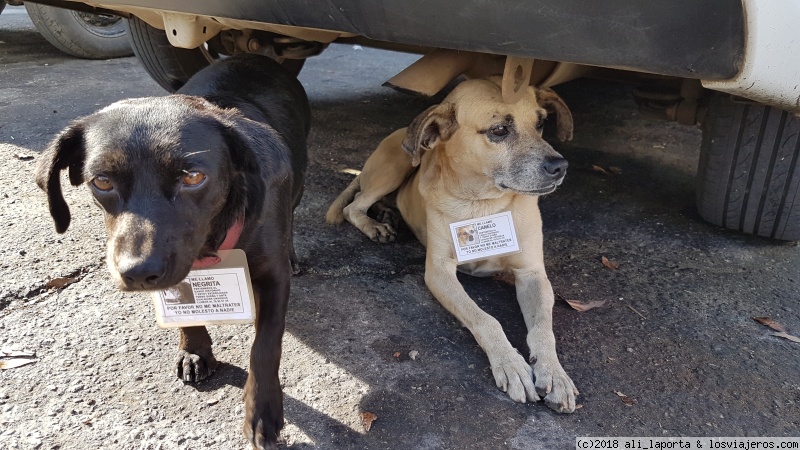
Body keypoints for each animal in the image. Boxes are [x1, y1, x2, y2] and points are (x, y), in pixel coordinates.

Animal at [35, 54, 310, 448]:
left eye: (193, 177)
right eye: (101, 181)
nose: (136, 272)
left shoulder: (273, 278)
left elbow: (265, 346)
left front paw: (263, 412)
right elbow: (186, 312)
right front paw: (195, 350)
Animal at [328, 76, 580, 412]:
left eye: (541, 123)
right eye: (499, 130)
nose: (560, 166)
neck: (483, 205)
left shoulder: (532, 274)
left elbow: (542, 329)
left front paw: (554, 373)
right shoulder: (439, 273)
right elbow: (486, 319)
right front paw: (511, 364)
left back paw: (387, 212)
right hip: (396, 166)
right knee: (354, 205)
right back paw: (375, 224)